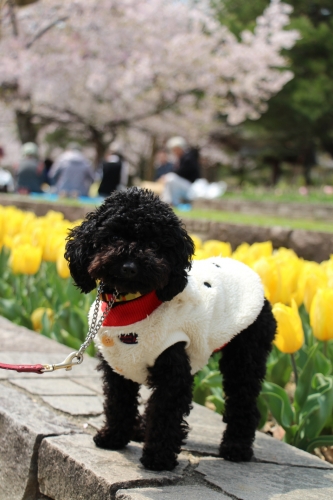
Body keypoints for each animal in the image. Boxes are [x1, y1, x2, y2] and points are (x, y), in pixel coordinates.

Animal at [64, 188, 274, 472]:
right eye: (113, 236)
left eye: (155, 245)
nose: (129, 266)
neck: (132, 304)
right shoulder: (117, 366)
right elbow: (119, 402)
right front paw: (113, 437)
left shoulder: (172, 368)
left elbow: (165, 412)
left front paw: (158, 458)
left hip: (246, 350)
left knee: (243, 398)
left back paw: (236, 448)